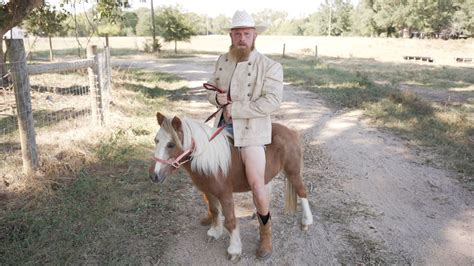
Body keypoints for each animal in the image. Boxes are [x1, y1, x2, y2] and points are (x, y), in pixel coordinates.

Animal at [148, 112, 312, 262]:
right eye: (156, 140)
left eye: (171, 144)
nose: (153, 176)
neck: (210, 159)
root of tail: (291, 132)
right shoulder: (209, 192)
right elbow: (214, 211)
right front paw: (215, 232)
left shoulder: (225, 194)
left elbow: (230, 221)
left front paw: (234, 249)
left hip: (292, 173)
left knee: (302, 193)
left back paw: (306, 222)